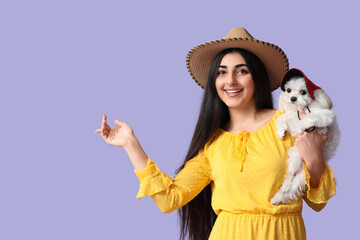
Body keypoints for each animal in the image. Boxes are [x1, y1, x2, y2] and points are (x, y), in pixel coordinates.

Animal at [272, 68, 338, 205]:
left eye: (303, 92)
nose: (293, 98)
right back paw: (281, 191)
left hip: (301, 177)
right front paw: (281, 131)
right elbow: (282, 119)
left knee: (291, 189)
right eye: (288, 90)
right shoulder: (291, 117)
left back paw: (279, 197)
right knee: (289, 176)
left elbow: (309, 118)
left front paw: (300, 126)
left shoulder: (325, 116)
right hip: (295, 158)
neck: (299, 109)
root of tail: (303, 168)